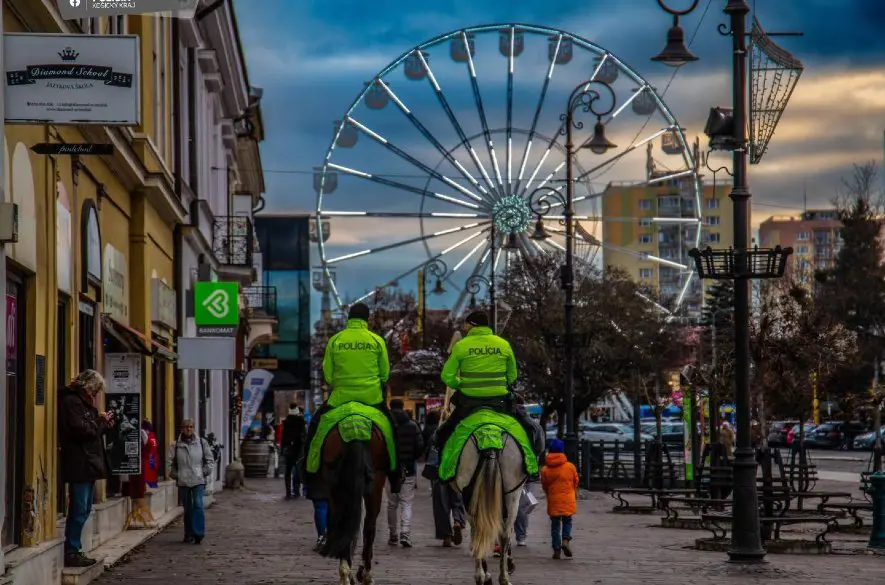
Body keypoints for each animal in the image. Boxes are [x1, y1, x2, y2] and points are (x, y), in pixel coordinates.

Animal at [318, 424, 386, 584]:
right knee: (369, 526)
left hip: (335, 486)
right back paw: (365, 573)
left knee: (343, 523)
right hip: (376, 482)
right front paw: (363, 573)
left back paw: (345, 573)